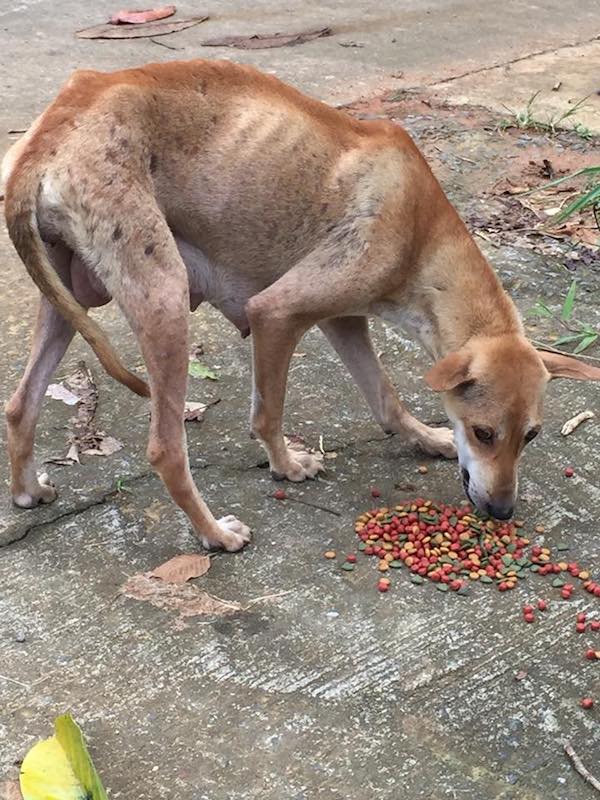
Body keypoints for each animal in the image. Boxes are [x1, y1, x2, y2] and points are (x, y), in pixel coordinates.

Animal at [2, 59, 596, 552]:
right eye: (483, 433)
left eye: (532, 435)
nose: (502, 512)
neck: (421, 231)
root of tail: (57, 122)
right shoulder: (276, 314)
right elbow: (268, 415)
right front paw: (286, 467)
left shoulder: (345, 321)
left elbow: (385, 398)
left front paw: (426, 437)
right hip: (165, 302)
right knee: (165, 450)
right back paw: (214, 534)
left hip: (63, 299)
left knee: (20, 405)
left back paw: (27, 492)